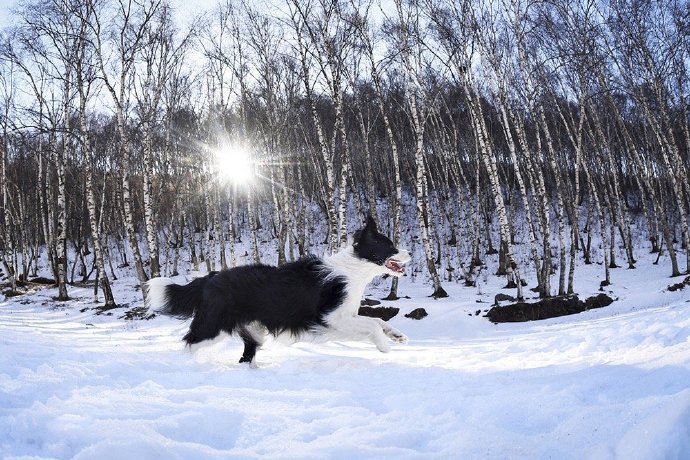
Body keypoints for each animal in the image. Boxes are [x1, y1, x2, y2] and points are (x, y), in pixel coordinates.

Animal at [146, 217, 408, 366]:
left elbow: (377, 320)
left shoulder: (343, 319)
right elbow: (372, 324)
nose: (409, 254)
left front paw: (397, 336)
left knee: (246, 356)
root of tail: (209, 278)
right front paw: (384, 347)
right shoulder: (329, 317)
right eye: (390, 246)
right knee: (190, 342)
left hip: (252, 331)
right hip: (214, 326)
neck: (354, 270)